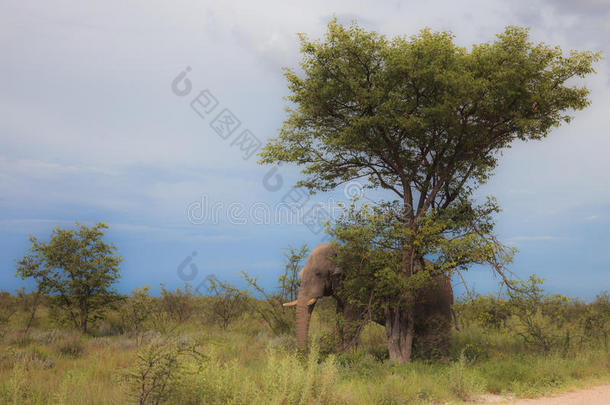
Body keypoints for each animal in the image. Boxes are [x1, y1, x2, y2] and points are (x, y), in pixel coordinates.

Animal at [282, 241, 452, 356]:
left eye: (318, 274)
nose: (304, 358)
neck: (341, 249)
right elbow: (339, 320)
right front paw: (340, 356)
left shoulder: (358, 286)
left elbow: (350, 320)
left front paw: (347, 357)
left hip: (439, 300)